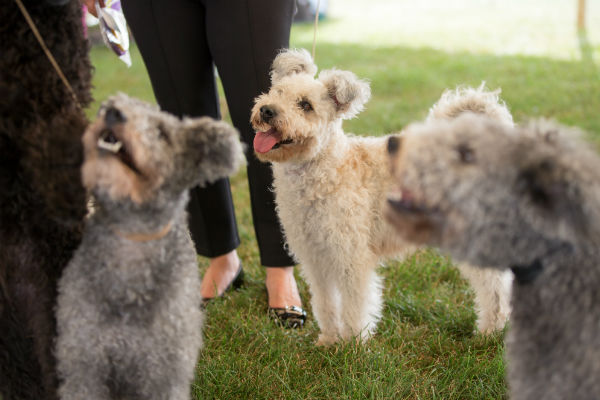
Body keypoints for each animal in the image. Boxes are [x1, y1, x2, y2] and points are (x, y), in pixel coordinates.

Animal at [248, 49, 510, 344]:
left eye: (305, 105)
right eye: (277, 92)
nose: (267, 110)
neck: (324, 170)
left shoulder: (351, 257)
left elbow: (354, 305)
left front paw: (352, 344)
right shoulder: (316, 257)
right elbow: (326, 303)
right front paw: (328, 340)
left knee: (496, 286)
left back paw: (490, 331)